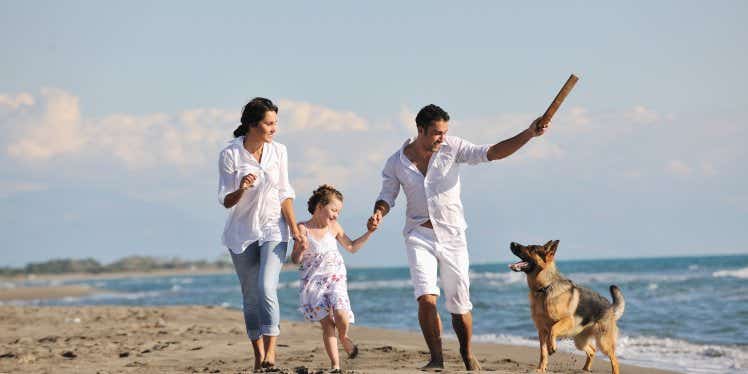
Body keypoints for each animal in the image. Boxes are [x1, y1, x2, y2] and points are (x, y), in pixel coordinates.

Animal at [508, 241, 624, 372]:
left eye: (532, 249)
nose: (512, 243)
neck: (545, 288)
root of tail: (610, 307)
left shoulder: (567, 320)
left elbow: (553, 330)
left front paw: (552, 347)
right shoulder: (541, 331)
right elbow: (543, 352)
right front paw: (541, 369)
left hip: (603, 342)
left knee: (614, 361)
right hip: (580, 341)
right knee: (592, 351)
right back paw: (585, 369)